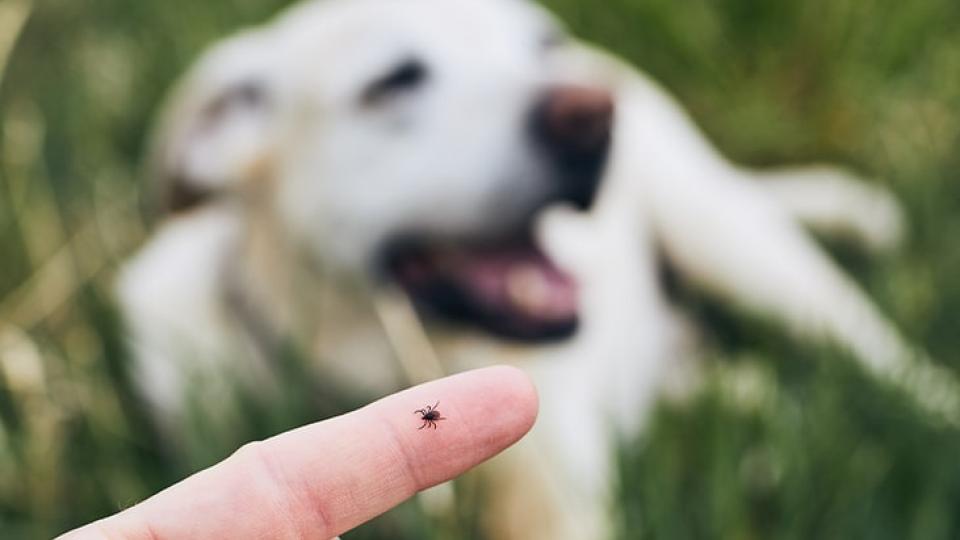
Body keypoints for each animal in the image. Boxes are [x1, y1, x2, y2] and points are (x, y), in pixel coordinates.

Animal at [112, 2, 952, 536]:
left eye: (539, 44)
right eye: (393, 81)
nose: (592, 112)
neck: (367, 363)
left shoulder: (554, 499)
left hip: (732, 243)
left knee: (881, 358)